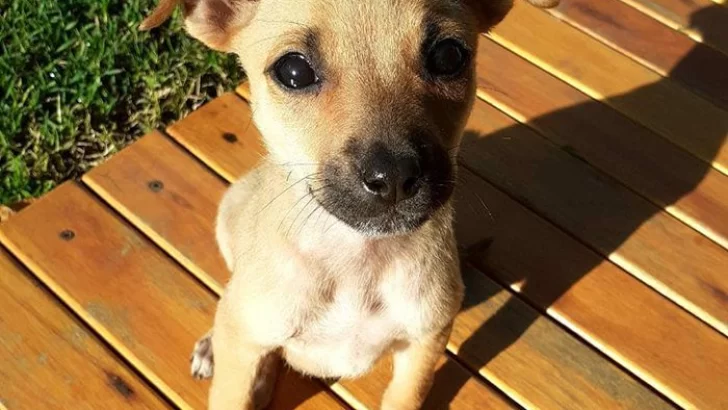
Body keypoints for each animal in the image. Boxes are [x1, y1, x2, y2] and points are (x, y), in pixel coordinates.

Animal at [142, 1, 556, 408]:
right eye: (293, 71)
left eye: (449, 55)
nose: (394, 177)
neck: (357, 258)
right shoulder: (243, 351)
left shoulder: (424, 344)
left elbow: (406, 396)